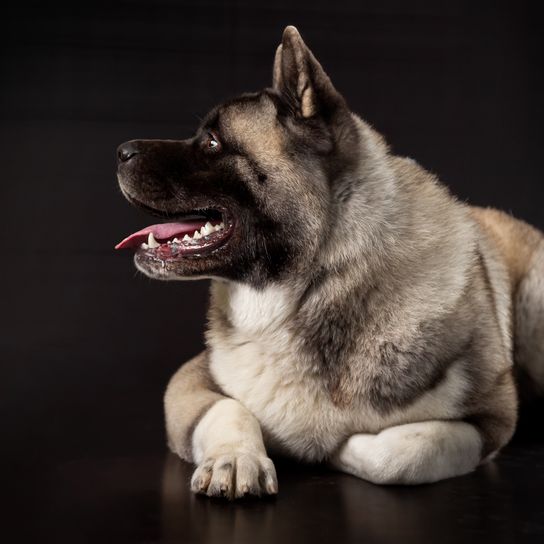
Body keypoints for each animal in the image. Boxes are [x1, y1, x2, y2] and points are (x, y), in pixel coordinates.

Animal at [116, 27, 544, 500]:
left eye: (211, 142)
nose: (121, 150)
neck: (311, 290)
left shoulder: (492, 415)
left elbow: (404, 450)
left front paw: (336, 450)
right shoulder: (189, 381)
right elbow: (229, 409)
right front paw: (237, 458)